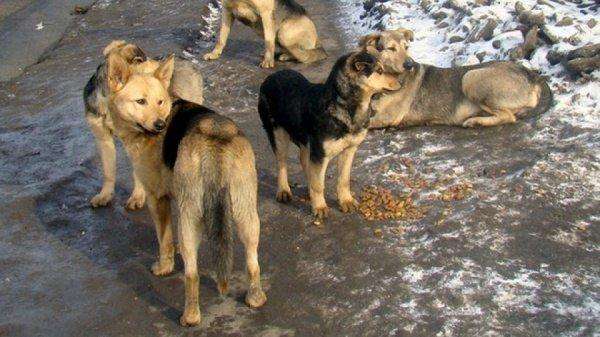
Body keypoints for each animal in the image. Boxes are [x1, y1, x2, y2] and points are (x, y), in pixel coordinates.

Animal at [82, 40, 204, 209]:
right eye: (141, 100)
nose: (165, 82)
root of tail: (187, 62)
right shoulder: (103, 138)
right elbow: (108, 171)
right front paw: (105, 194)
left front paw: (138, 195)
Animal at [103, 52, 268, 326]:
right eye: (140, 101)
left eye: (159, 101)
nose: (160, 125)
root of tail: (215, 139)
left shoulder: (156, 198)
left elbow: (164, 240)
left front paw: (164, 266)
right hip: (246, 215)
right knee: (253, 262)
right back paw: (255, 298)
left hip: (192, 220)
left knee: (192, 275)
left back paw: (190, 316)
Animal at [256, 51, 398, 217]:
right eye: (380, 71)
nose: (400, 81)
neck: (344, 104)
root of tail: (270, 77)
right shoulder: (320, 153)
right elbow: (318, 184)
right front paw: (319, 207)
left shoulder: (349, 150)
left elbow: (343, 179)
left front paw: (346, 201)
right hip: (278, 134)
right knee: (282, 163)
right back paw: (284, 190)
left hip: (305, 140)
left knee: (303, 159)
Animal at [360, 28, 552, 128]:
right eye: (391, 49)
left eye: (406, 47)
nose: (410, 64)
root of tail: (531, 74)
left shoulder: (386, 117)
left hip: (470, 77)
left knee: (508, 116)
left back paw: (475, 121)